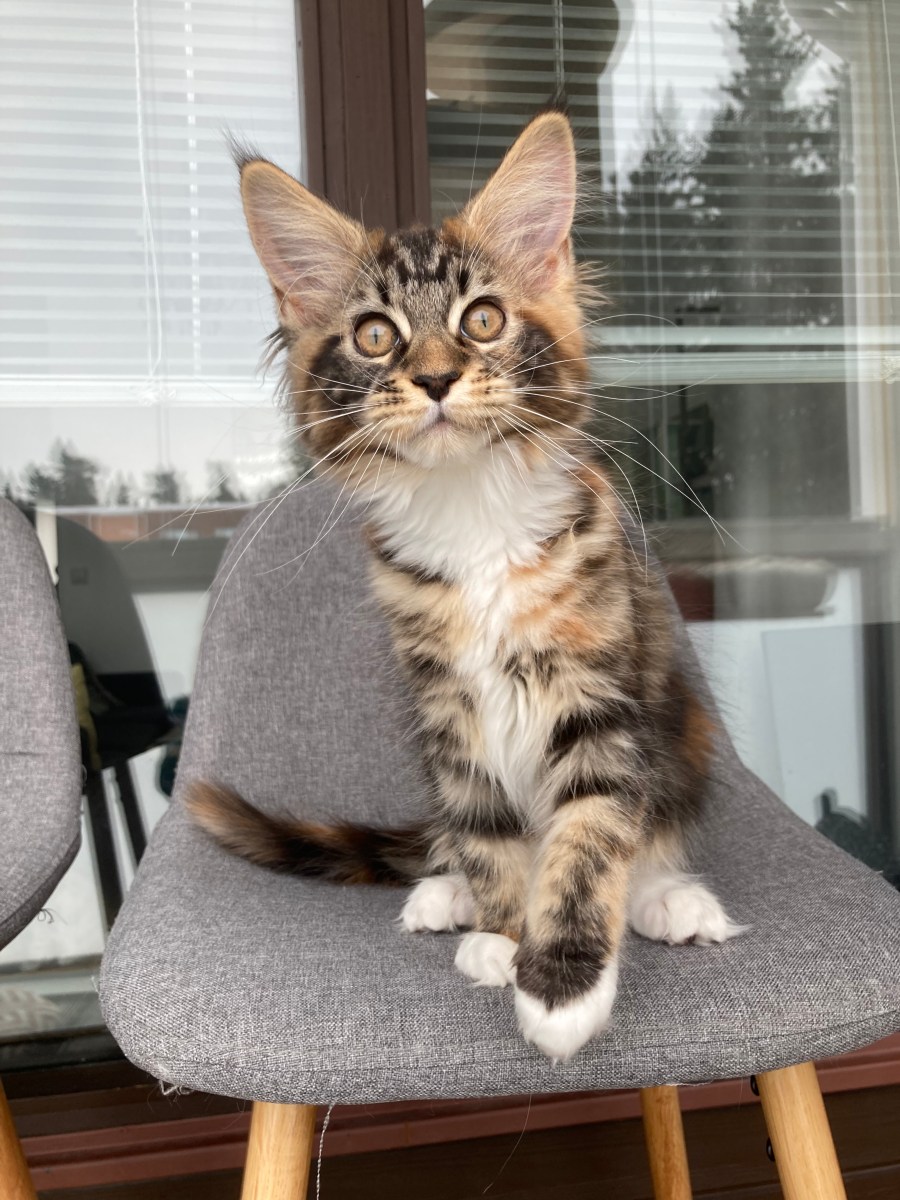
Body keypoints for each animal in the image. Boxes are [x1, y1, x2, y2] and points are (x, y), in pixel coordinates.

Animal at [186, 111, 744, 1062]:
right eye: (376, 335)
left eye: (482, 320)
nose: (438, 377)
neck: (472, 511)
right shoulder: (449, 707)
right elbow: (487, 831)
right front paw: (502, 934)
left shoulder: (599, 693)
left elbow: (590, 834)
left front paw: (561, 984)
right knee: (451, 836)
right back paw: (445, 893)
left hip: (683, 733)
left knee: (649, 836)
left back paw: (670, 900)